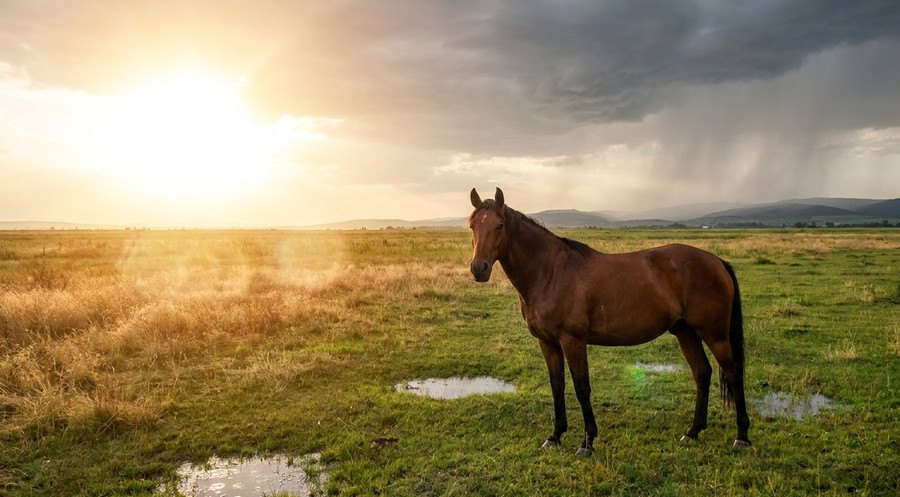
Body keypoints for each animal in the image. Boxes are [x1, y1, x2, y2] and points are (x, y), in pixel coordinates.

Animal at [468, 187, 750, 455]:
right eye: (472, 225)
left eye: (499, 225)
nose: (479, 269)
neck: (551, 273)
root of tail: (717, 261)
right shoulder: (547, 343)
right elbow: (557, 385)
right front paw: (555, 436)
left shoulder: (573, 341)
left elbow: (582, 388)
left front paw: (587, 443)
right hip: (686, 332)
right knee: (702, 373)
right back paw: (692, 432)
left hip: (714, 334)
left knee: (733, 373)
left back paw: (742, 437)